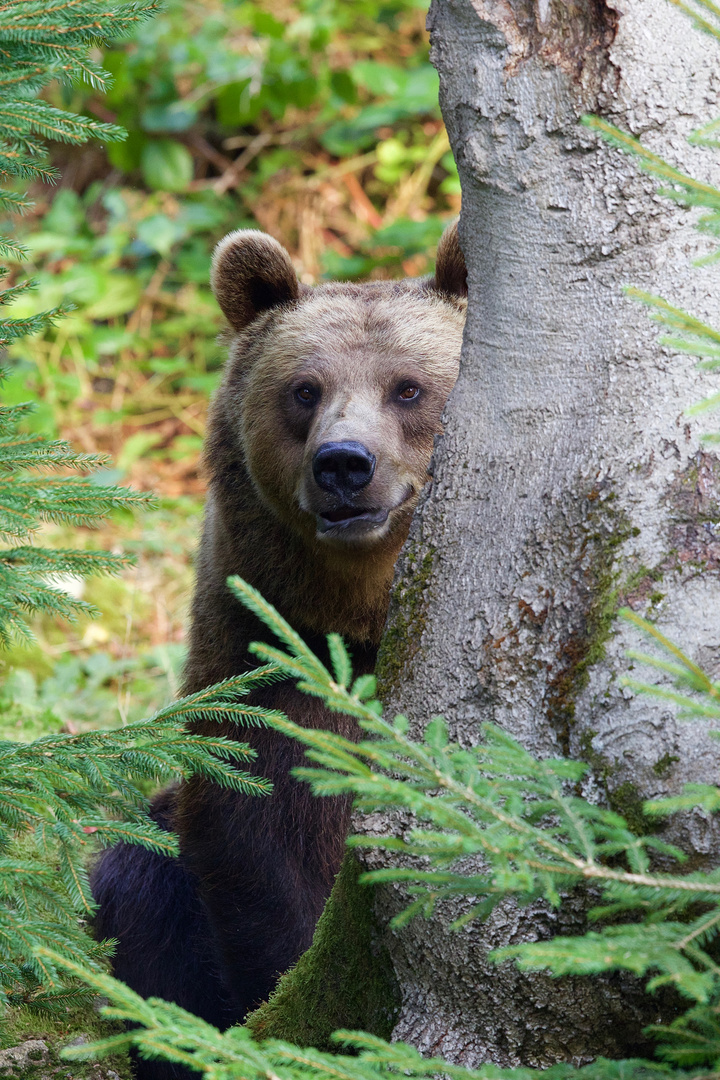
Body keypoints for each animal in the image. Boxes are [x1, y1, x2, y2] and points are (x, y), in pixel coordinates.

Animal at [91, 221, 468, 1071]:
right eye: (304, 389)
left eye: (408, 388)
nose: (345, 464)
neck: (354, 629)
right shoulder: (260, 676)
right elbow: (260, 853)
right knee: (135, 880)